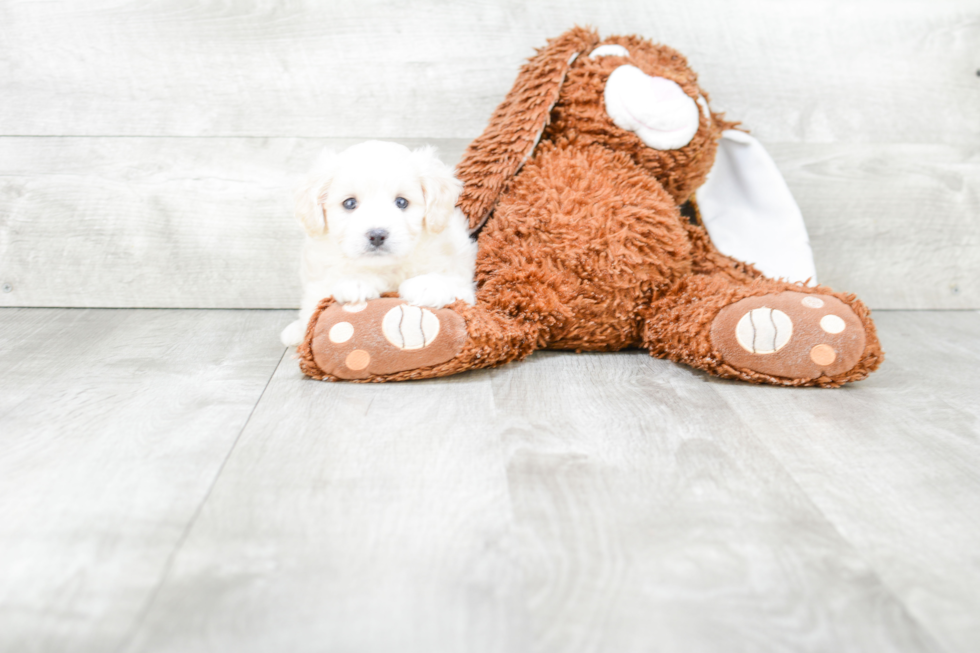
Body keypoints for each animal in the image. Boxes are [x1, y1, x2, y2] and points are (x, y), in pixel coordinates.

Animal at [280, 141, 478, 348]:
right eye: (349, 203)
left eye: (401, 202)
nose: (376, 235)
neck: (385, 267)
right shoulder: (319, 278)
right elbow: (319, 297)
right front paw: (356, 282)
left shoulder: (459, 272)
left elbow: (453, 281)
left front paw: (427, 285)